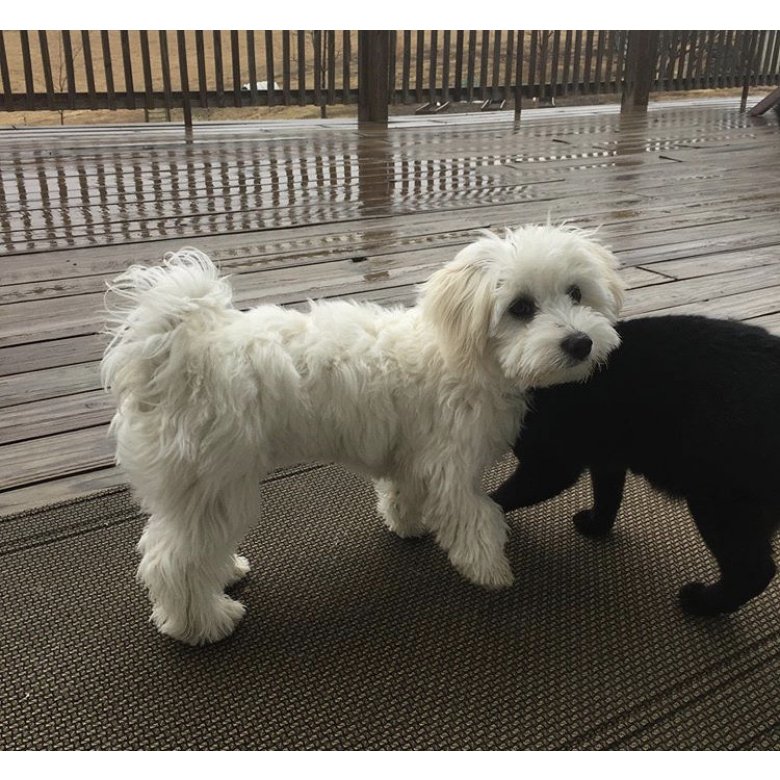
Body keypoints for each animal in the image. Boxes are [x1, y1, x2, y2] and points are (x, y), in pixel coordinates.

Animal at [103, 222, 624, 644]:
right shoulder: (450, 464)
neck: (464, 356)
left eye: (576, 293)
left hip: (198, 492)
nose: (580, 343)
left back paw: (226, 572)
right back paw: (203, 623)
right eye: (520, 307)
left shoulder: (415, 455)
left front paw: (408, 525)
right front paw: (490, 570)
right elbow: (475, 517)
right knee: (173, 561)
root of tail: (174, 351)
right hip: (214, 483)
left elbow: (405, 491)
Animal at [494, 316, 780, 616]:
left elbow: (499, 498)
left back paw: (702, 602)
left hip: (720, 503)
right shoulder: (607, 459)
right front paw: (596, 526)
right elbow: (608, 497)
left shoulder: (550, 466)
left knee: (754, 571)